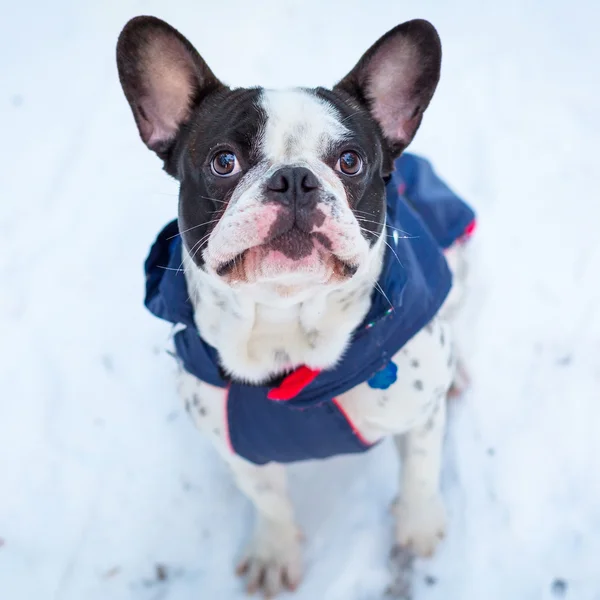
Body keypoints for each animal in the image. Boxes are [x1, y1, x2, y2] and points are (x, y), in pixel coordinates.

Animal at [116, 16, 474, 596]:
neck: (287, 323)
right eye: (224, 161)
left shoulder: (420, 416)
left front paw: (419, 524)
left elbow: (420, 469)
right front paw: (274, 551)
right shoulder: (239, 452)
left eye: (350, 161)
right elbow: (270, 502)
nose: (294, 179)